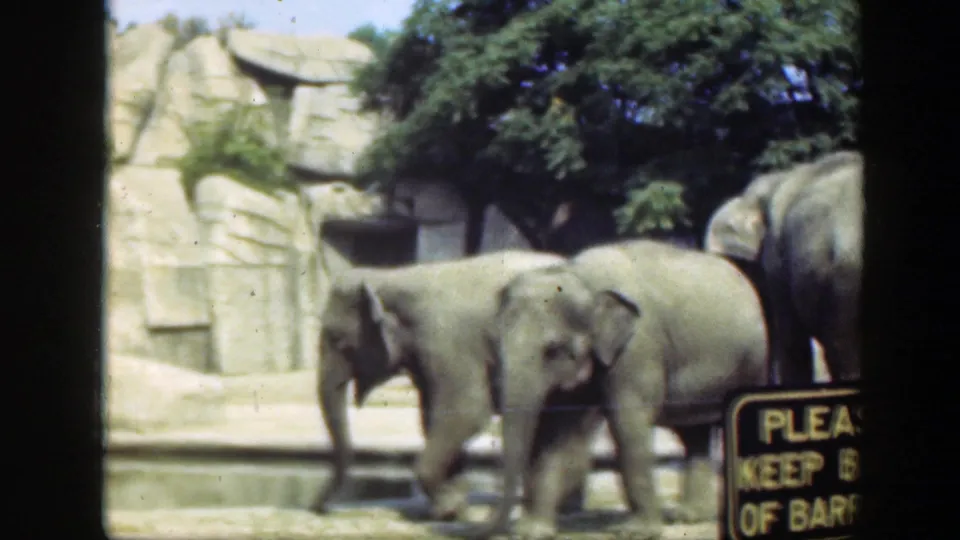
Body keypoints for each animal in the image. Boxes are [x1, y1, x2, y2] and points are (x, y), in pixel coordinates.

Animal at [309, 249, 595, 522]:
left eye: (338, 340)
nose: (319, 508)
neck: (392, 277)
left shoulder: (447, 340)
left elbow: (466, 411)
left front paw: (449, 510)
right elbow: (432, 415)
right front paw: (452, 508)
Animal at [466, 239, 769, 540]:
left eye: (552, 350)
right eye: (496, 343)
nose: (475, 525)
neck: (580, 276)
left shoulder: (638, 348)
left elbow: (627, 424)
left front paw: (636, 532)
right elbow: (558, 432)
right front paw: (533, 532)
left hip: (753, 363)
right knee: (694, 432)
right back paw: (688, 516)